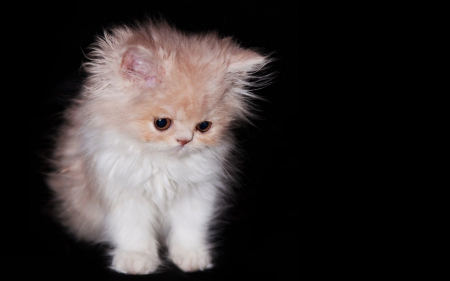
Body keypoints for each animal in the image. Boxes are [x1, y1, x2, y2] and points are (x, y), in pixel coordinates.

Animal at [47, 19, 268, 274]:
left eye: (203, 126)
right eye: (162, 123)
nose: (185, 141)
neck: (163, 163)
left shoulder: (199, 191)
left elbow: (190, 227)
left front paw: (191, 257)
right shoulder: (122, 190)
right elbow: (133, 231)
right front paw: (136, 260)